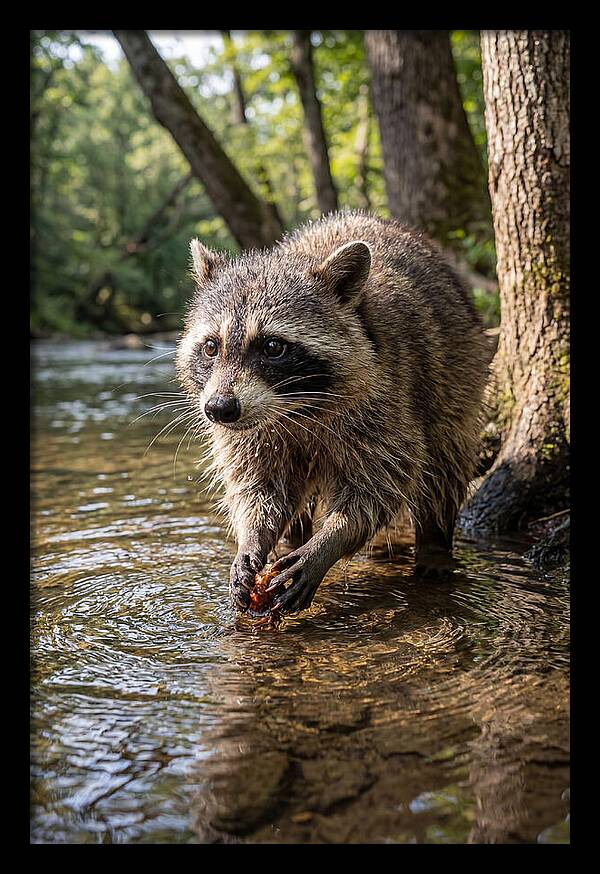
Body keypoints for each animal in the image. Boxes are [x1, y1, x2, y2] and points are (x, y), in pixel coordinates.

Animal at [176, 211, 489, 614]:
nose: (218, 409)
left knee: (444, 466)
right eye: (211, 347)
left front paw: (330, 541)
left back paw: (434, 544)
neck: (294, 408)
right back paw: (292, 538)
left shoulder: (386, 400)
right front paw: (253, 537)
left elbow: (380, 485)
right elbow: (259, 486)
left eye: (272, 346)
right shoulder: (251, 431)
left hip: (457, 375)